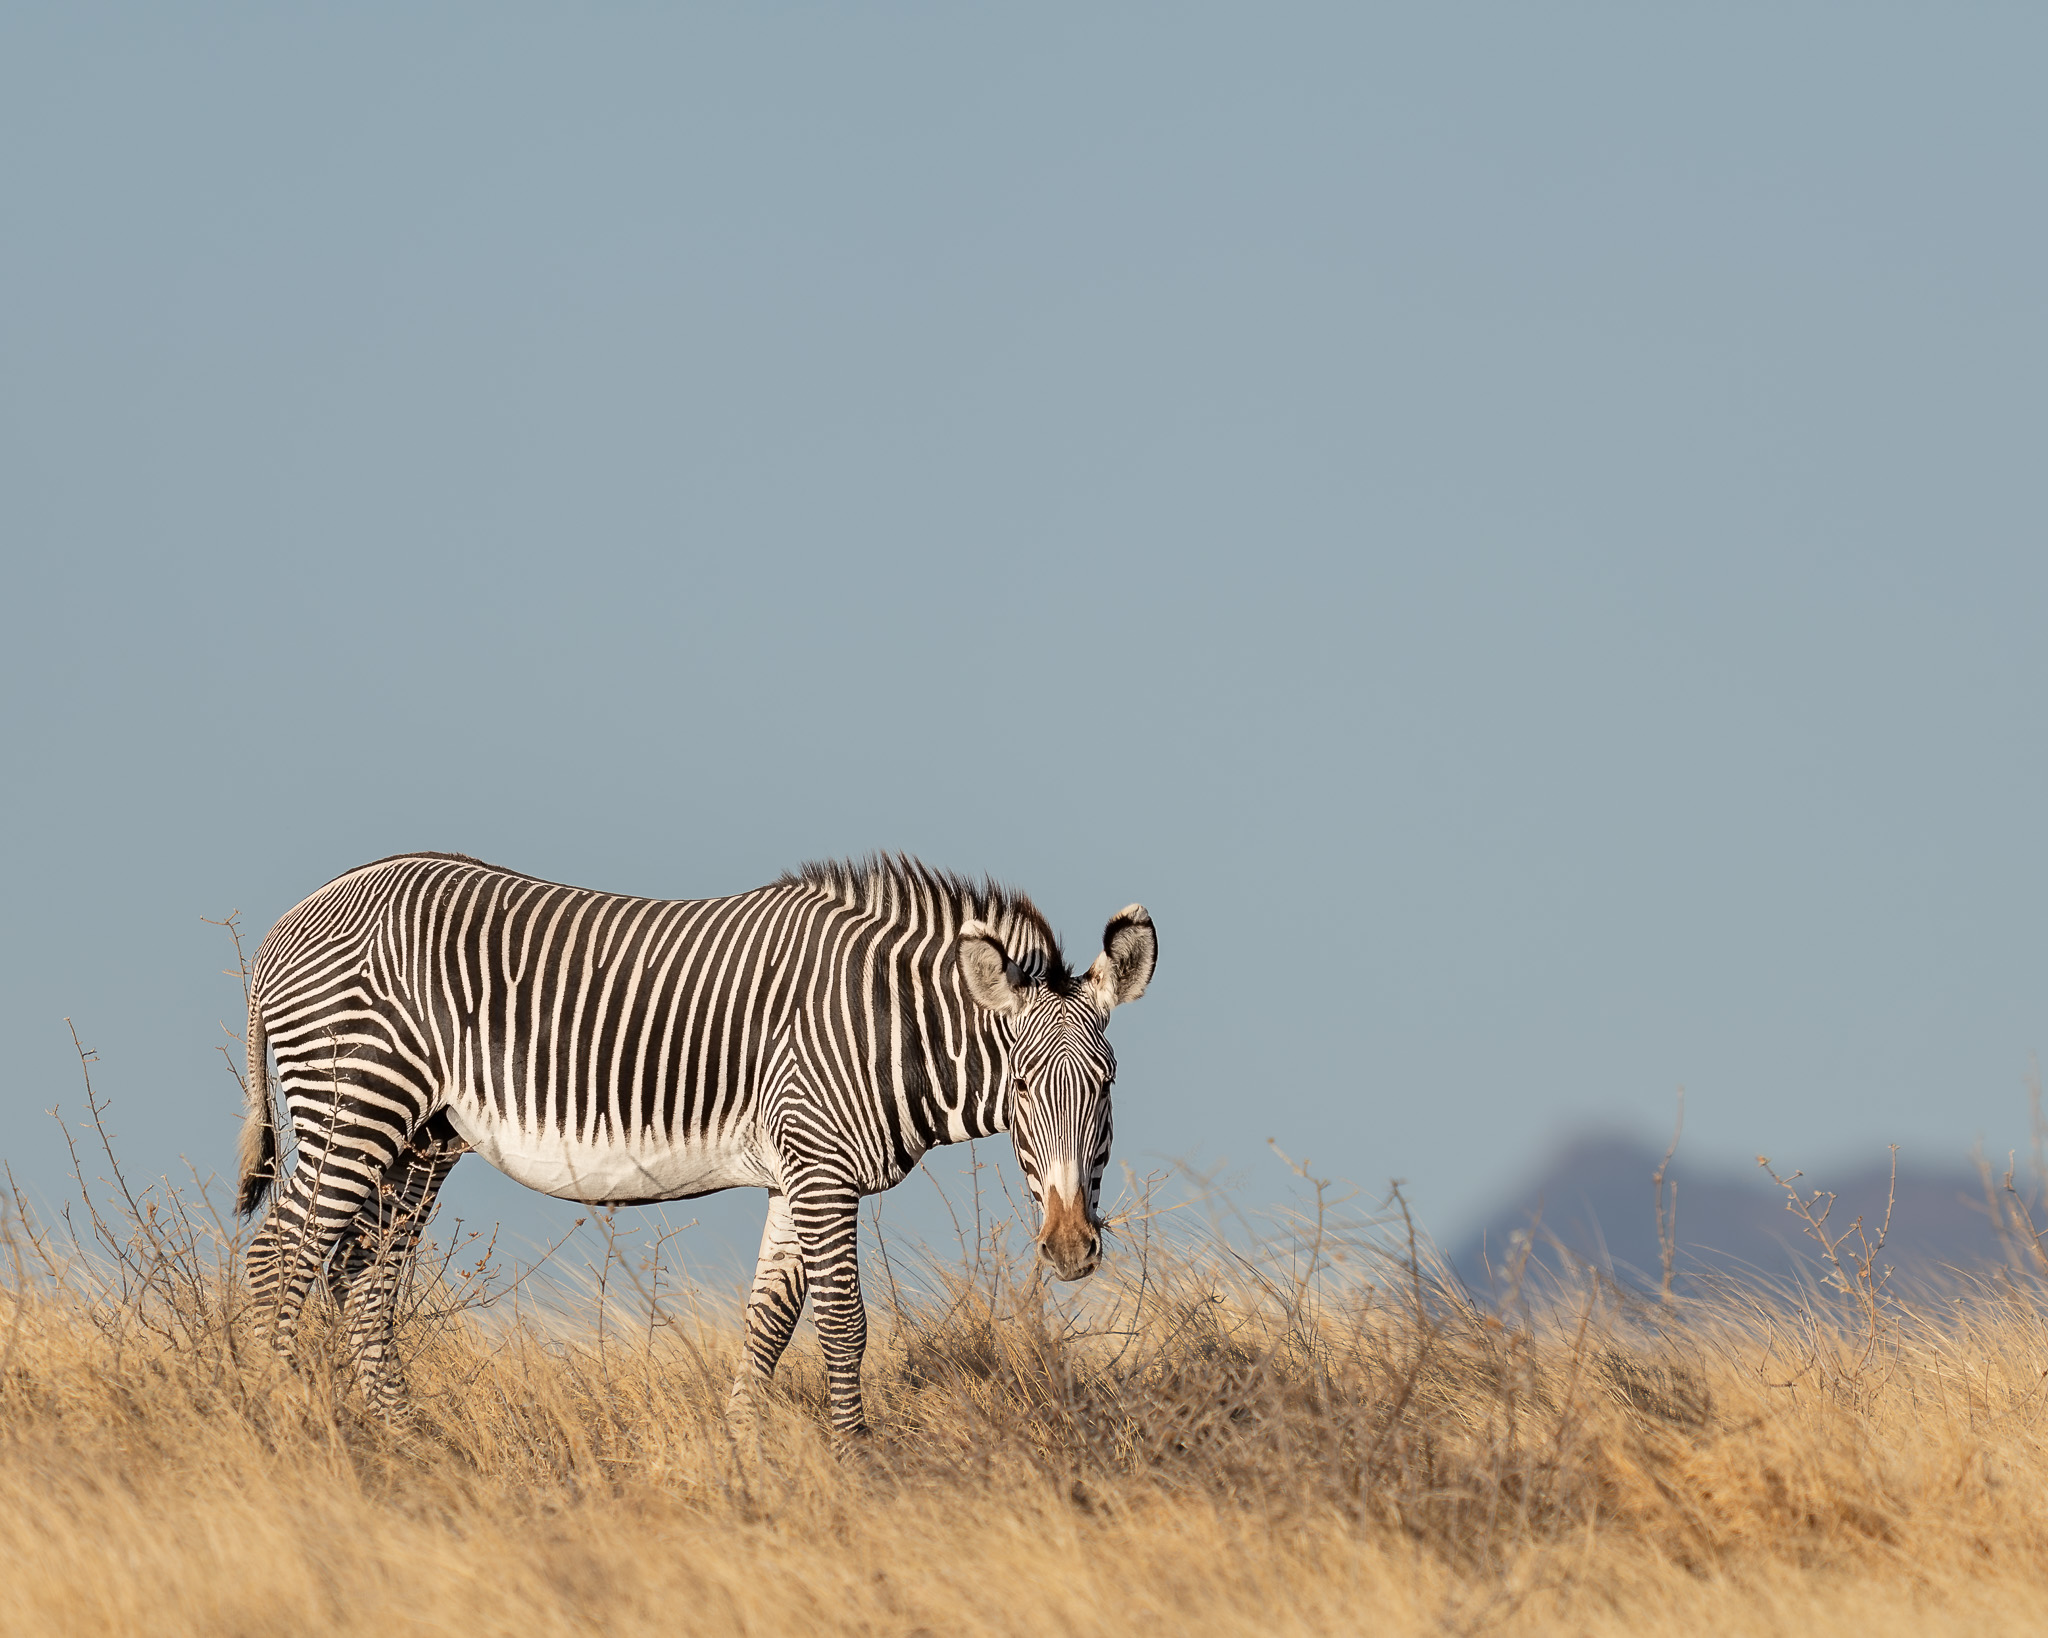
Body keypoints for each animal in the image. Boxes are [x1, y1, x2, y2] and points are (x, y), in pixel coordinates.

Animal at [236, 851, 1157, 1433]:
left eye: (1108, 1086)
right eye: (1023, 1088)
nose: (1070, 1249)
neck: (884, 1026)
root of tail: (294, 917)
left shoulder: (797, 1175)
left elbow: (769, 1323)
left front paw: (744, 1466)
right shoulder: (822, 1167)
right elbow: (844, 1325)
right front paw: (856, 1466)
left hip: (421, 1139)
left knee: (361, 1279)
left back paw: (402, 1440)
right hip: (355, 1103)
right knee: (280, 1257)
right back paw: (276, 1421)